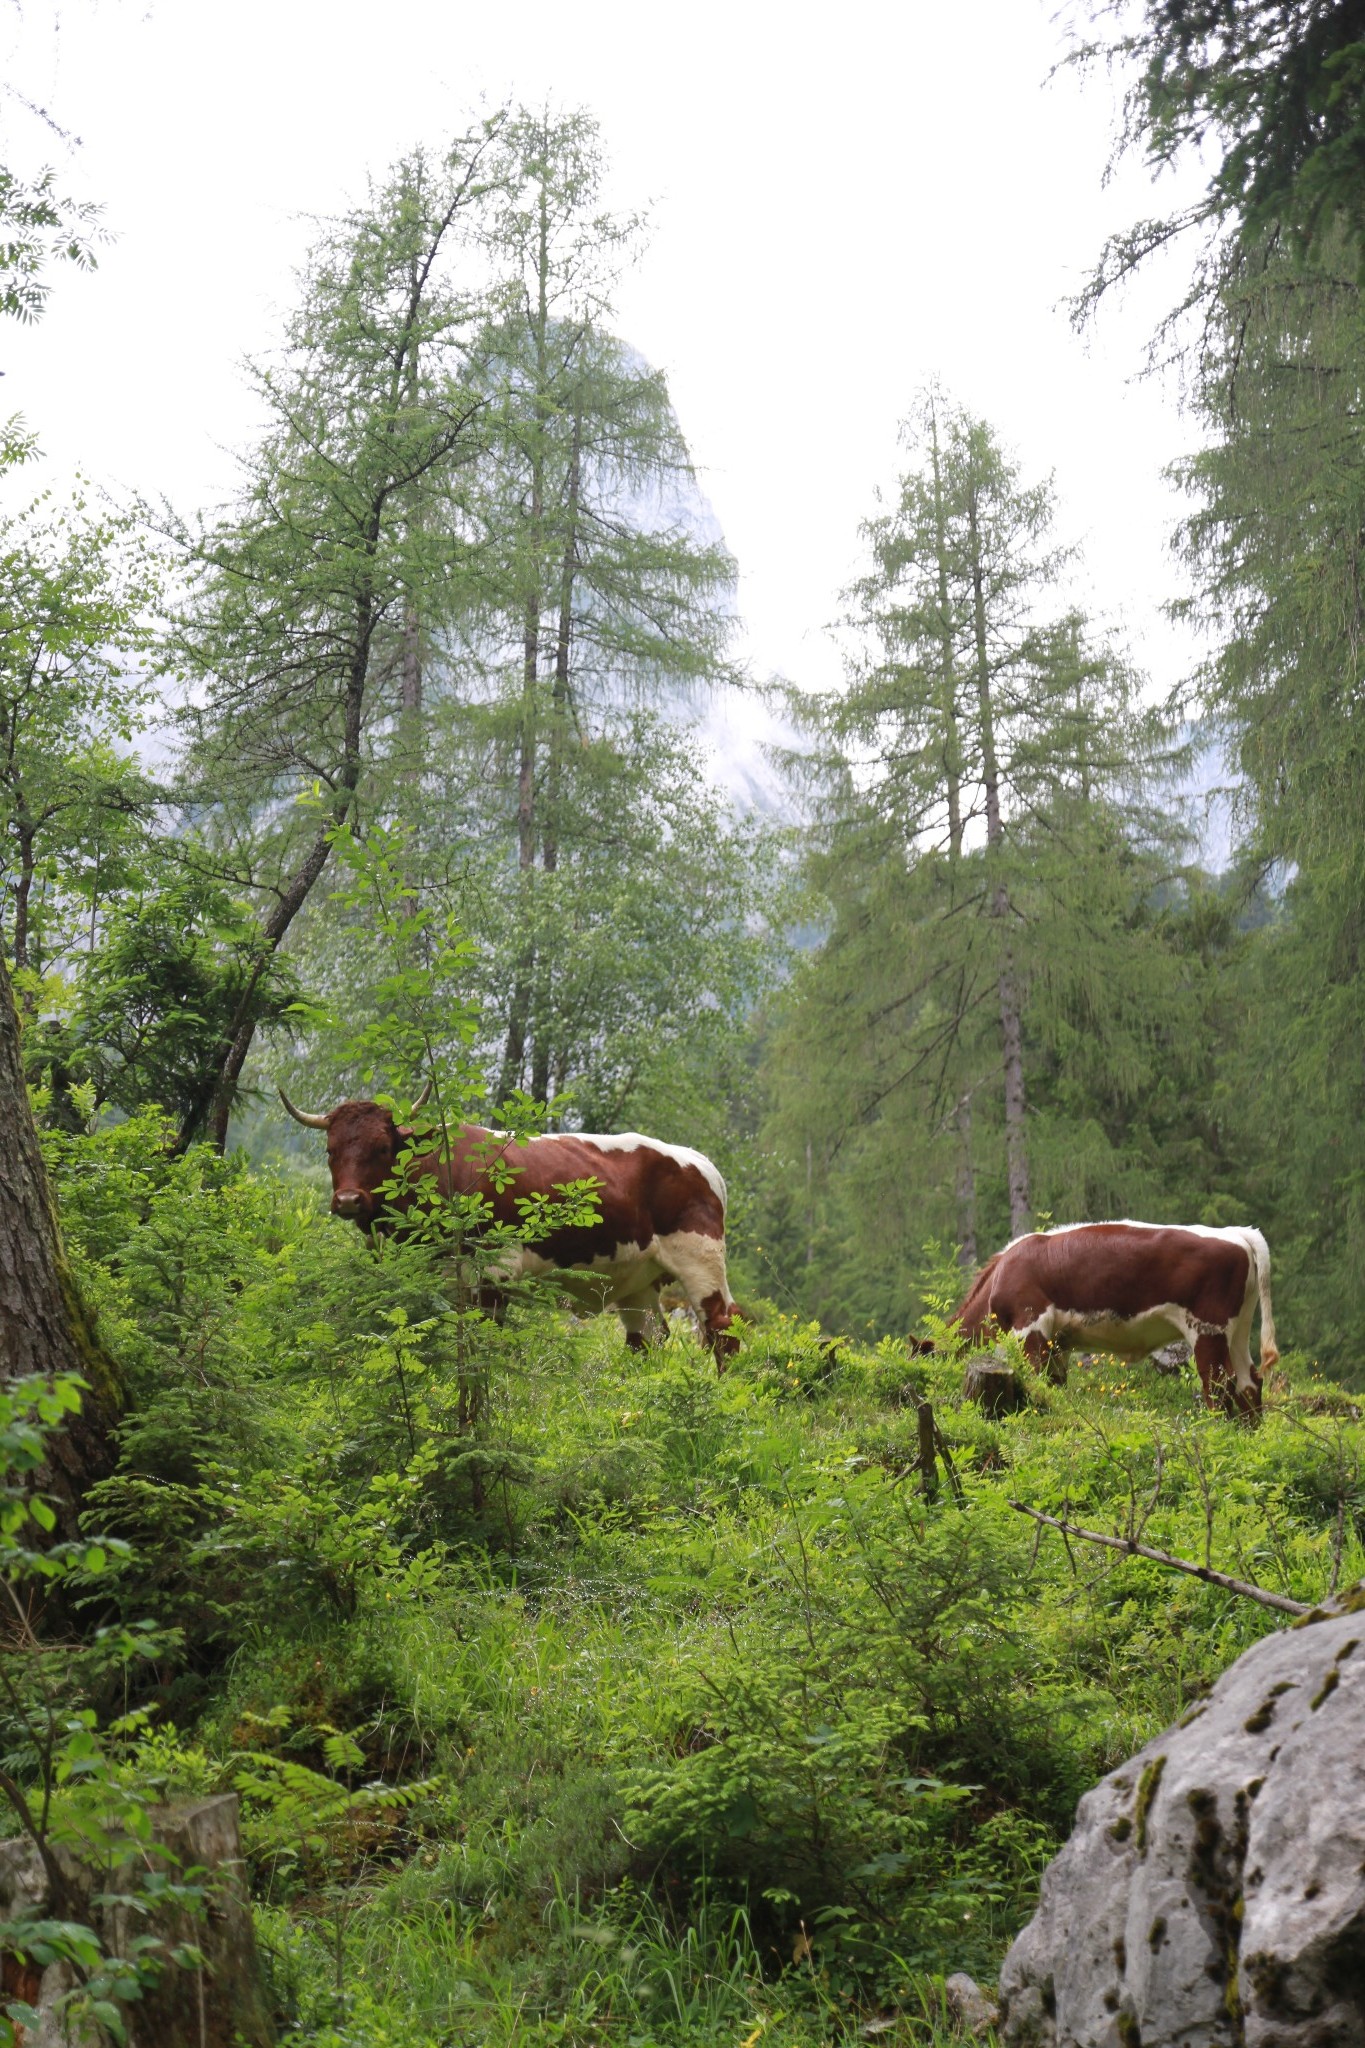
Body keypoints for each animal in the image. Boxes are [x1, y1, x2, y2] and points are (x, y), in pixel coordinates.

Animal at [949, 1220, 1285, 1417]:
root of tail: (1236, 1232)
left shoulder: (1031, 1326)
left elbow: (1036, 1379)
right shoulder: (1058, 1342)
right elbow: (1055, 1384)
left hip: (1207, 1328)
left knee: (1218, 1382)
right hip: (1237, 1330)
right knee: (1249, 1381)